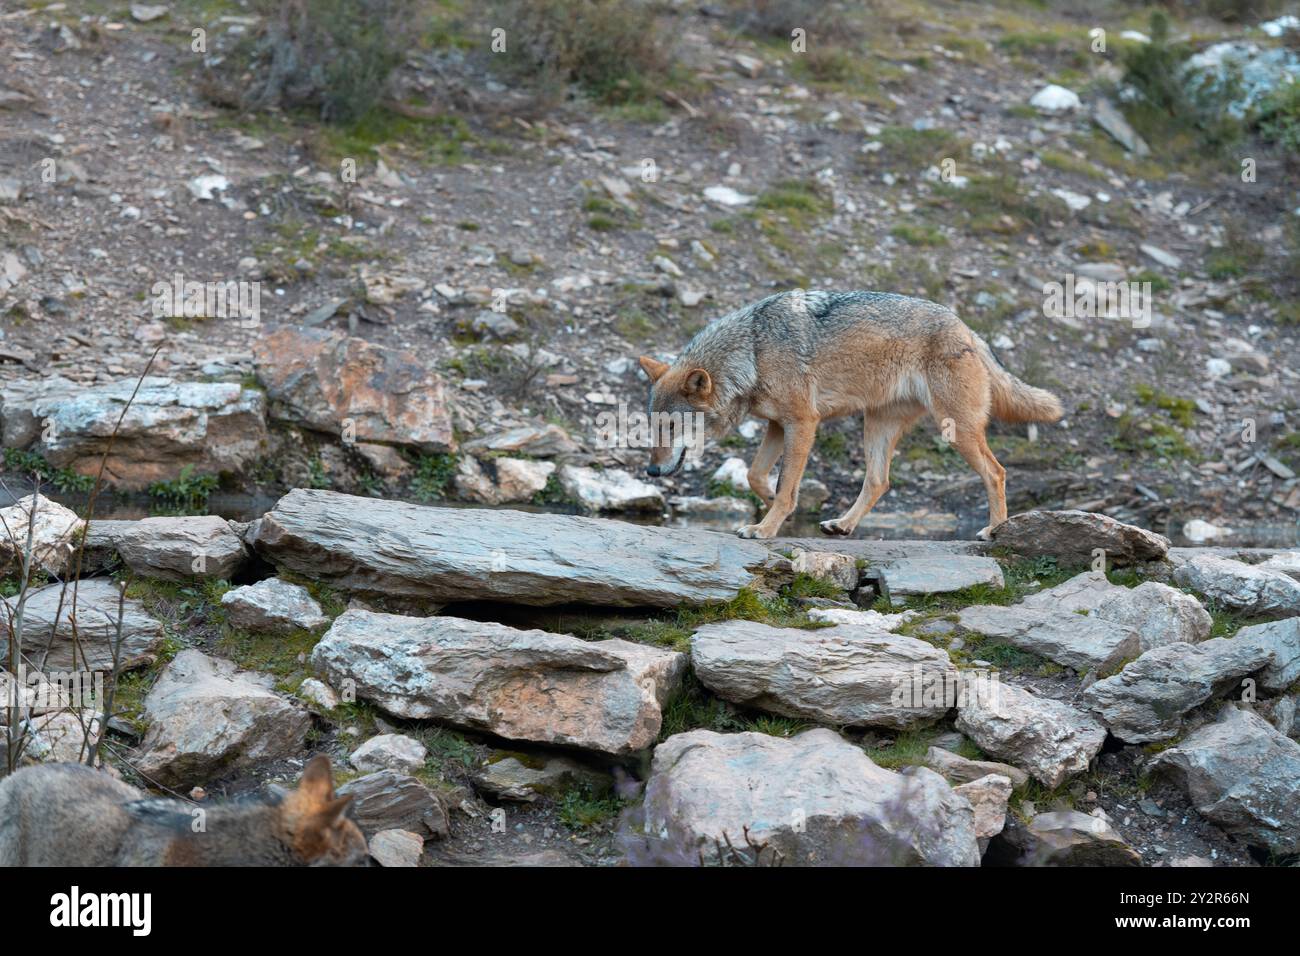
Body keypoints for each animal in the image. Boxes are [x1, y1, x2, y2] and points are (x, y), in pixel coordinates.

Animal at [639, 290, 1063, 540]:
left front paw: (766, 527)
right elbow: (757, 476)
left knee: (996, 472)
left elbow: (785, 486)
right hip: (876, 426)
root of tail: (968, 329)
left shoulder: (802, 423)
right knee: (878, 481)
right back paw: (842, 524)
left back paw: (994, 531)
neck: (753, 351)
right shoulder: (777, 424)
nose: (653, 471)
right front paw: (777, 507)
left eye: (674, 425)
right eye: (652, 427)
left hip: (955, 429)